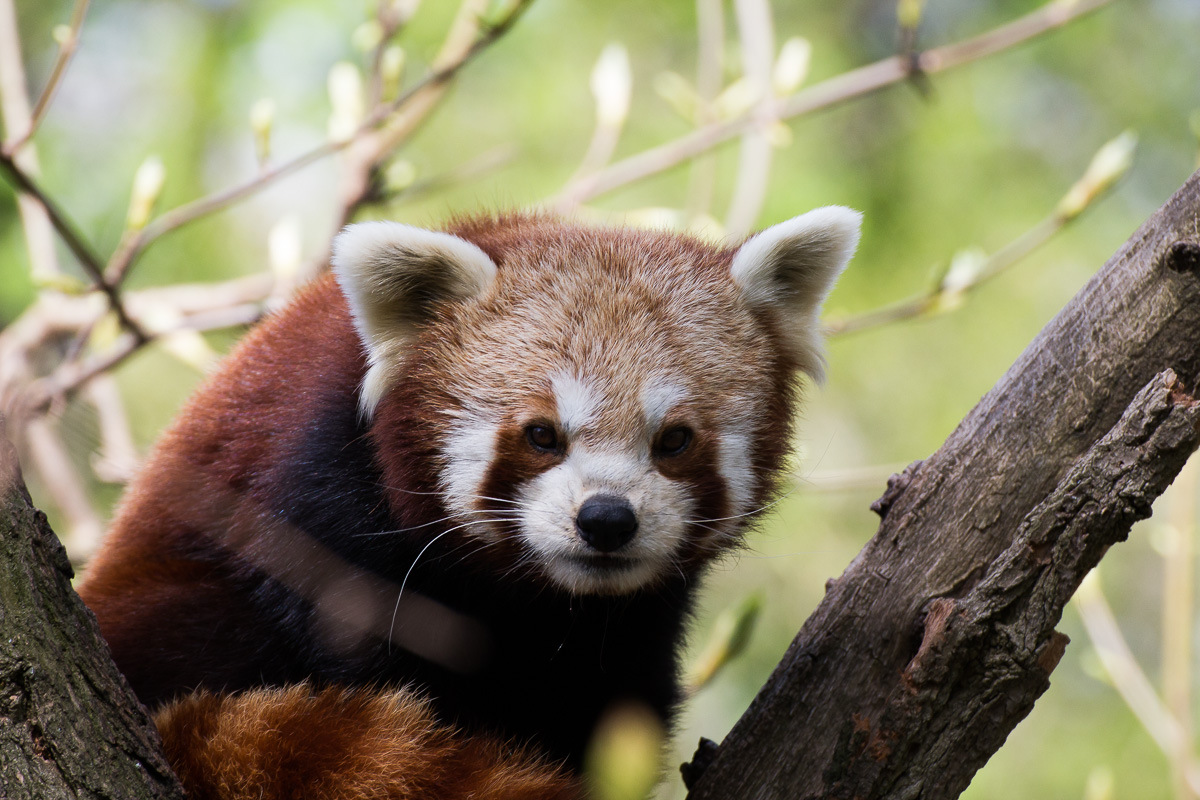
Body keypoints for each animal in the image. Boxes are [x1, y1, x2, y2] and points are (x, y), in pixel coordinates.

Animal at [77, 209, 864, 796]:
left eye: (673, 440)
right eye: (542, 434)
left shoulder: (630, 627)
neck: (533, 599)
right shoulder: (318, 503)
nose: (607, 519)